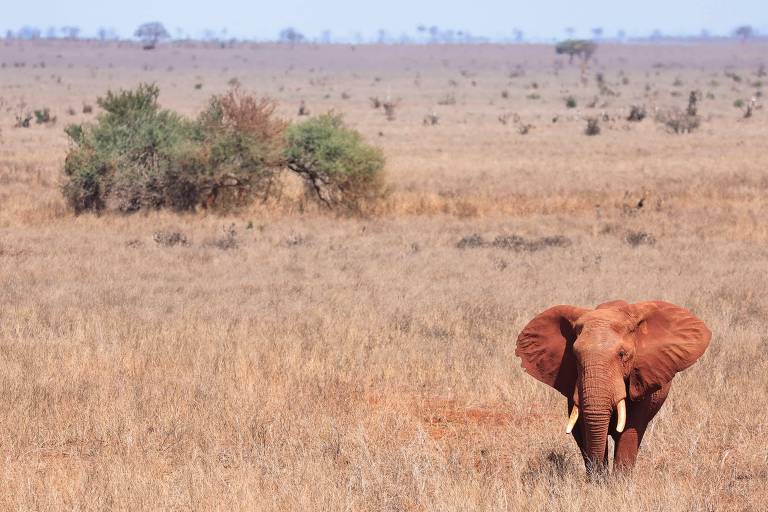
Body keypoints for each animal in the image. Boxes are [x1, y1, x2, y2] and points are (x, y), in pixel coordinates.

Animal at [512, 300, 712, 476]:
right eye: (575, 356)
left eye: (622, 355)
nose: (598, 477)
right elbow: (586, 427)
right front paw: (598, 483)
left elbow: (630, 426)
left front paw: (619, 483)